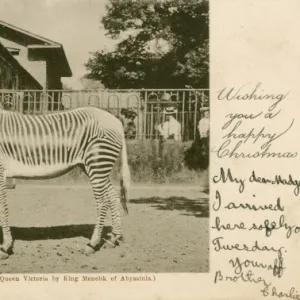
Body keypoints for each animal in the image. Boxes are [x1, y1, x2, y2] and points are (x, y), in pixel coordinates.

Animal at [0, 104, 130, 258]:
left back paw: (92, 244)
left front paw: (5, 247)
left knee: (102, 202)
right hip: (92, 166)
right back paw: (114, 237)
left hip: (98, 162)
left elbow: (2, 208)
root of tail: (116, 121)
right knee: (112, 195)